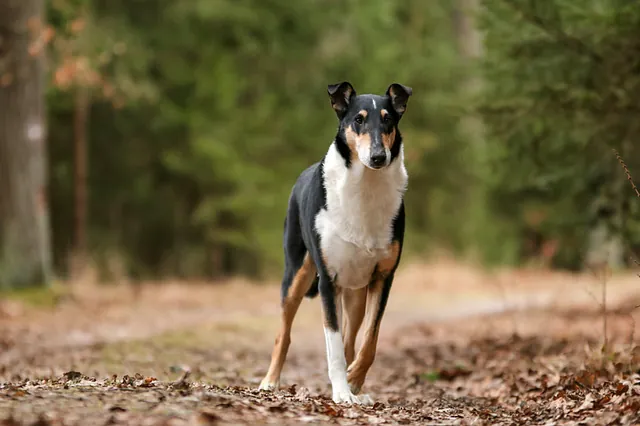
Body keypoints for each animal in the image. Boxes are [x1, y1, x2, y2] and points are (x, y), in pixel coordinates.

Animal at [258, 81, 412, 404]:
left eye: (388, 120)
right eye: (358, 120)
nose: (378, 157)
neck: (365, 186)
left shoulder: (383, 277)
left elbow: (370, 339)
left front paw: (354, 381)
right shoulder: (327, 280)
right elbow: (333, 346)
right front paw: (342, 392)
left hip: (355, 294)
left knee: (351, 339)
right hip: (297, 275)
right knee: (284, 333)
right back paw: (269, 382)